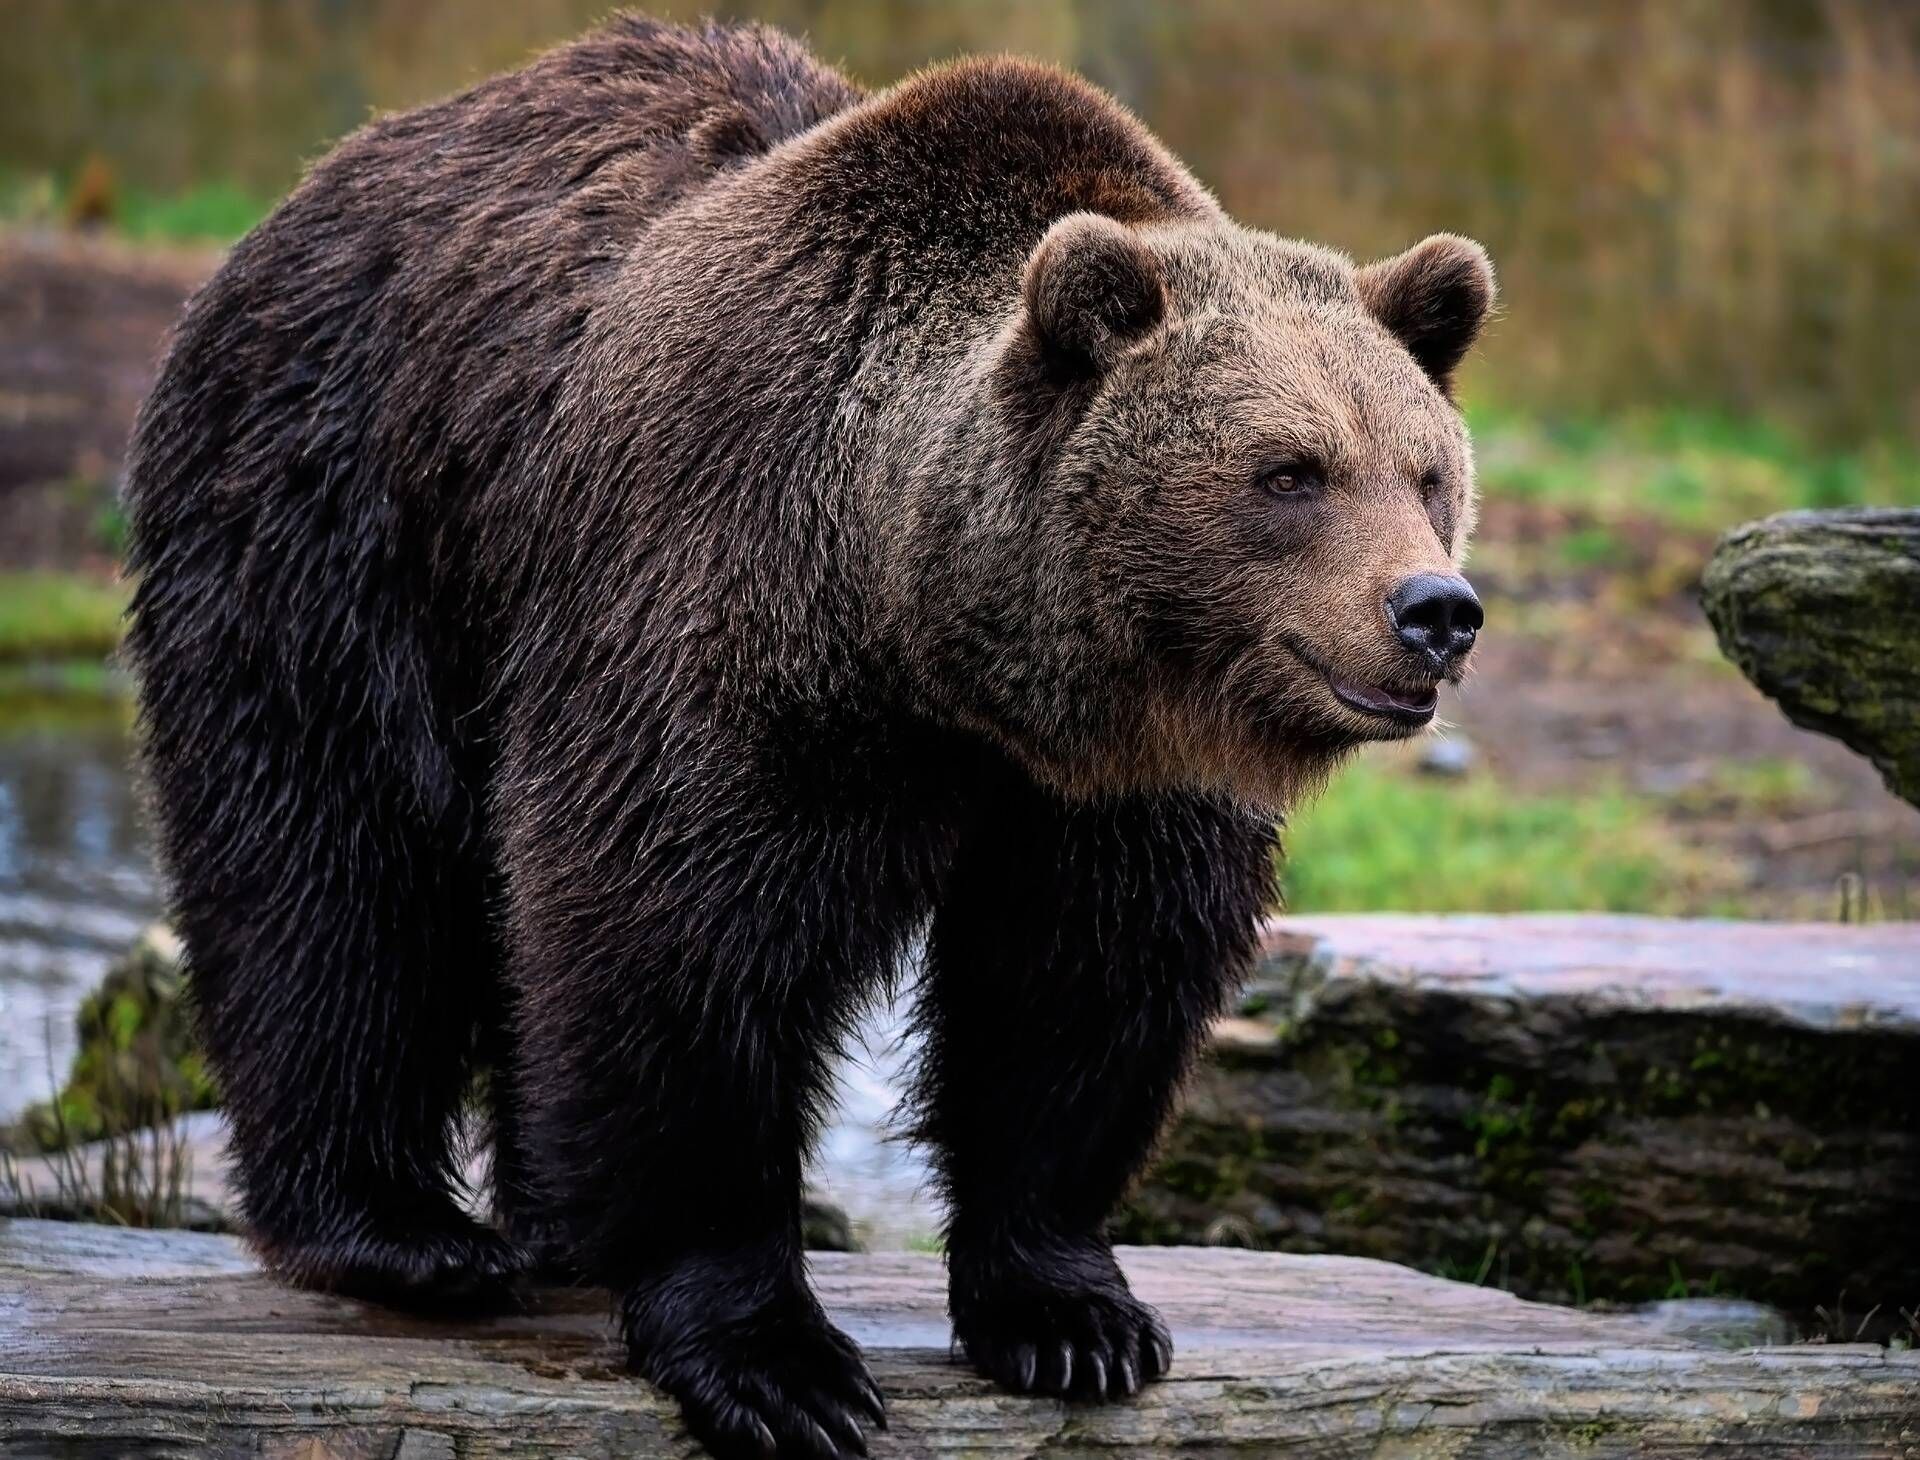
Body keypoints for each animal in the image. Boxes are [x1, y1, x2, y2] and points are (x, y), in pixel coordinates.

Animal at [127, 14, 1489, 1460]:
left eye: (1425, 470)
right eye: (1289, 472)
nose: (1434, 611)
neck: (934, 642)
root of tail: (327, 177)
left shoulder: (1111, 787)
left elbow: (1081, 984)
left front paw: (1075, 1315)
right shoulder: (723, 624)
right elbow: (674, 944)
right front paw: (778, 1362)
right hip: (343, 512)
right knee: (331, 862)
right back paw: (403, 1232)